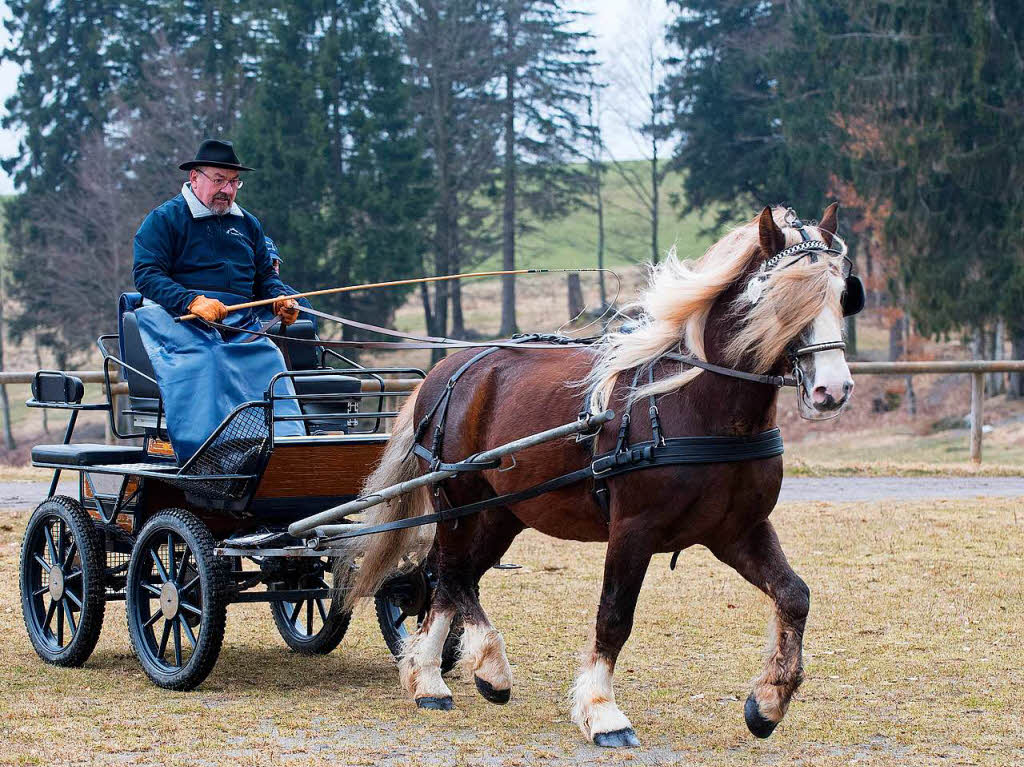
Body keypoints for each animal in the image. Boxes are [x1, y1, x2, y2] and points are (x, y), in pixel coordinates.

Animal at [344, 204, 856, 749]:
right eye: (780, 299)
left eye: (842, 293)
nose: (832, 389)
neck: (699, 405)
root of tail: (448, 369)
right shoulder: (632, 530)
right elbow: (614, 616)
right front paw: (602, 711)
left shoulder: (737, 531)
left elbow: (794, 595)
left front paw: (768, 702)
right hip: (459, 500)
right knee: (455, 575)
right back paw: (489, 669)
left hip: (500, 513)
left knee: (448, 580)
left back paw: (430, 681)